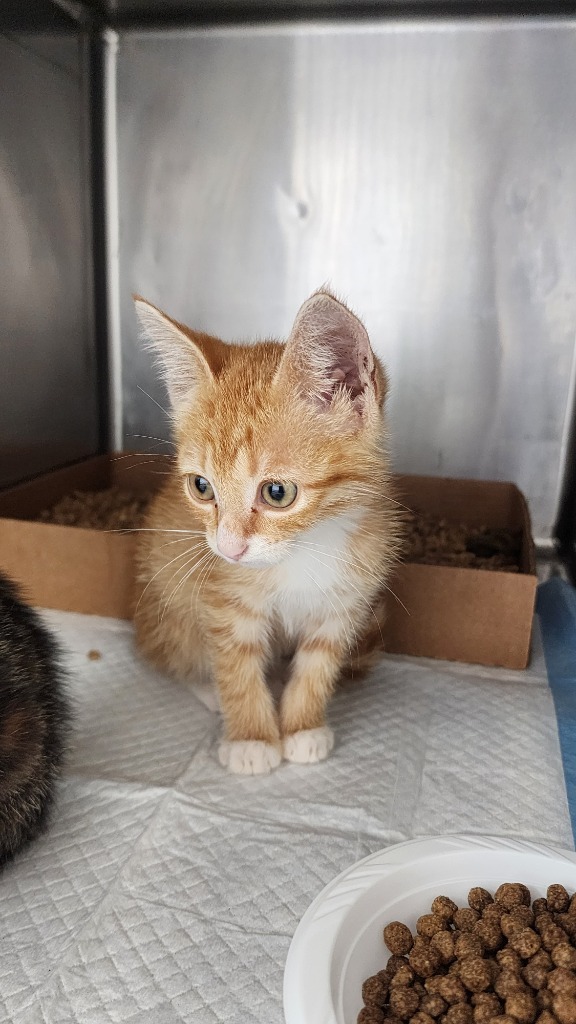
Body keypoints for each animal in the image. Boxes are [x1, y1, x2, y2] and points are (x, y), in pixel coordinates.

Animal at [133, 292, 401, 770]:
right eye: (201, 487)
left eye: (278, 492)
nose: (229, 547)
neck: (305, 548)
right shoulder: (223, 599)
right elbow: (236, 666)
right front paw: (251, 739)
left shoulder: (344, 604)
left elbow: (317, 666)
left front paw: (302, 727)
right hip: (167, 594)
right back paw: (208, 689)